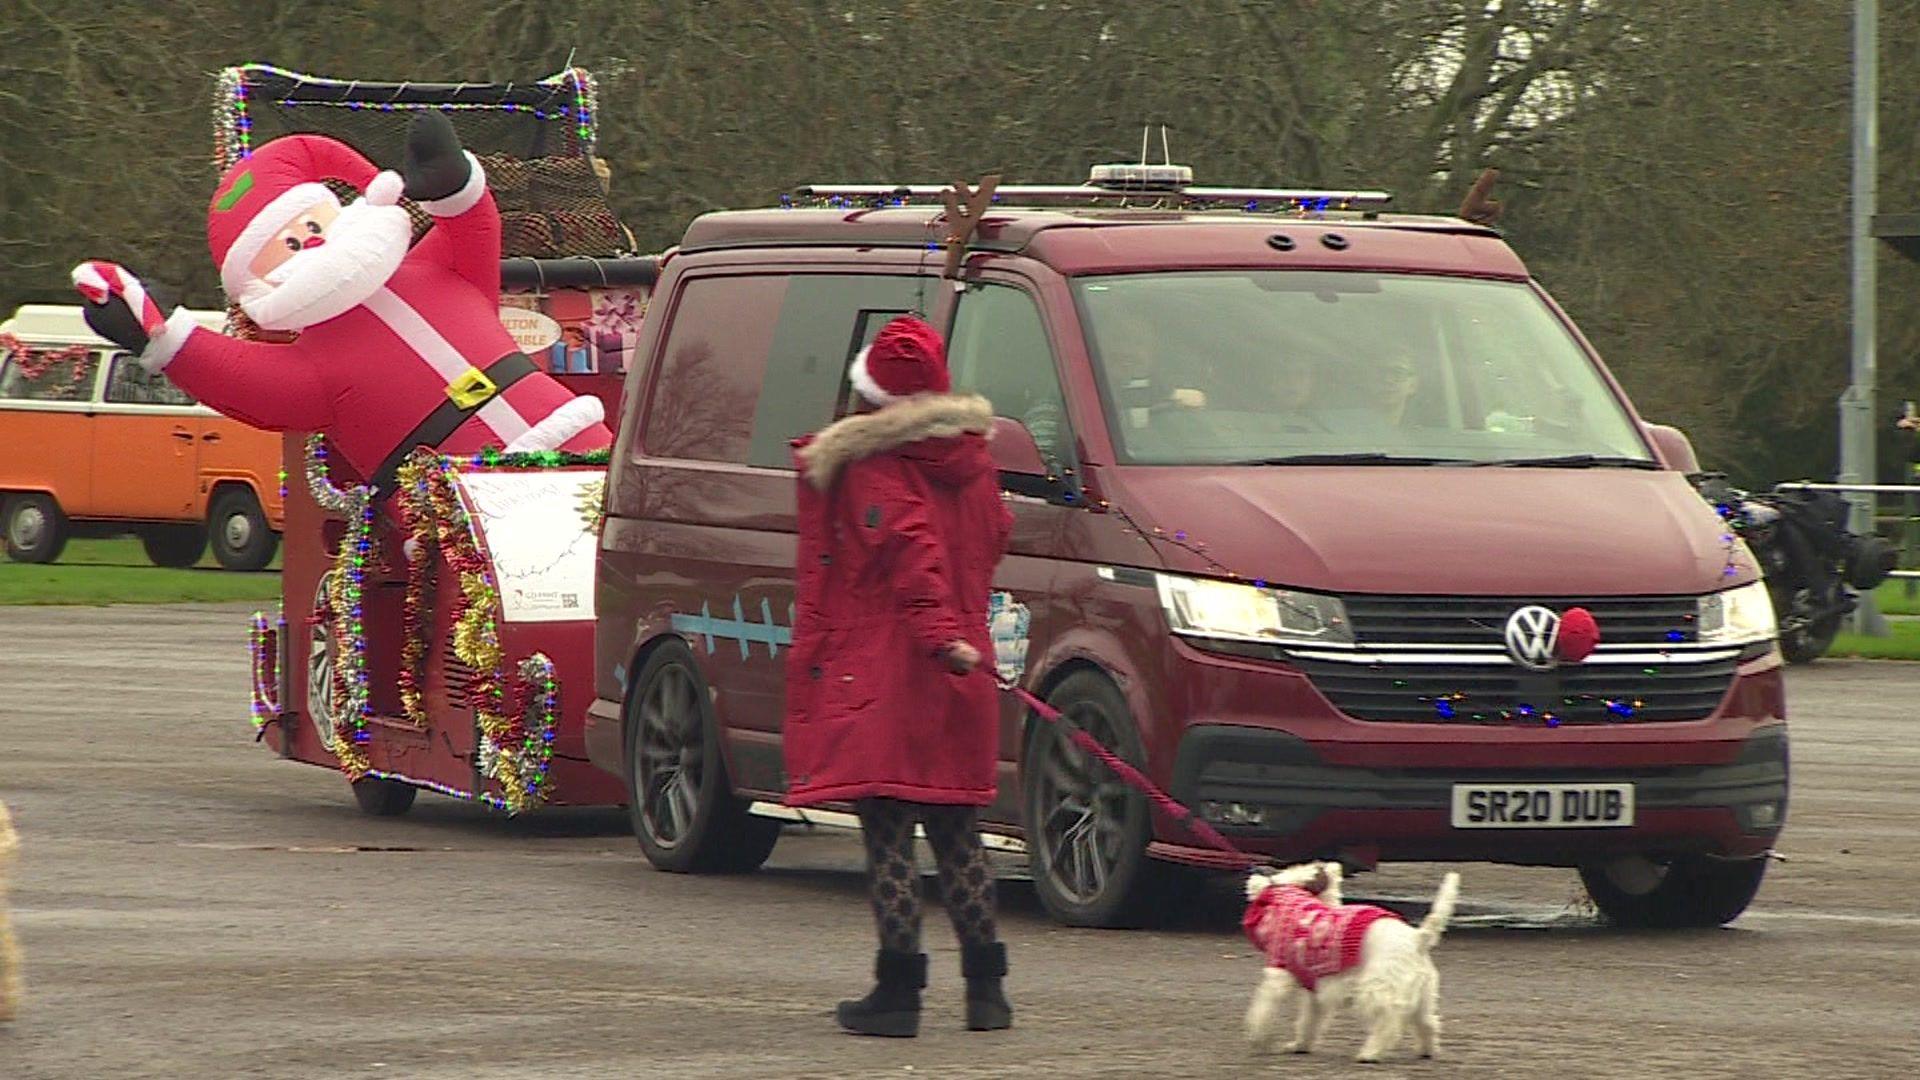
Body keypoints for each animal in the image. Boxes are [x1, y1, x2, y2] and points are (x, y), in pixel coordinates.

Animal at [1244, 857, 1451, 1060]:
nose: (1257, 871)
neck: (1291, 898)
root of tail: (1418, 938)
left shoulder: (1277, 978)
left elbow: (1263, 1011)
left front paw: (1258, 1039)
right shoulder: (1316, 994)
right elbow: (1308, 1022)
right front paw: (1300, 1045)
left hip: (1376, 990)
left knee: (1387, 1023)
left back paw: (1370, 1053)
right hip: (1424, 996)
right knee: (1428, 1023)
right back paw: (1426, 1050)